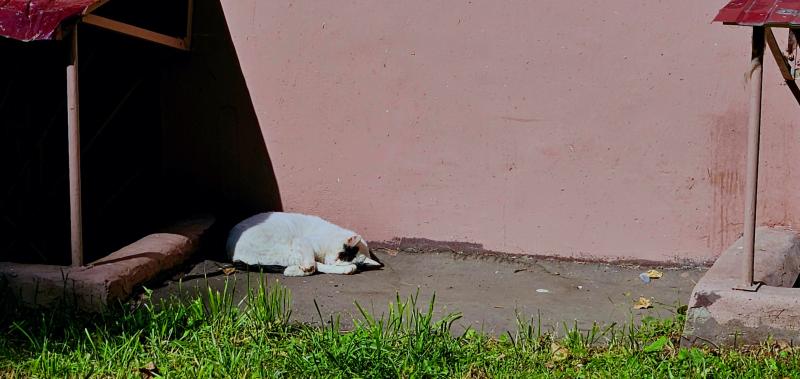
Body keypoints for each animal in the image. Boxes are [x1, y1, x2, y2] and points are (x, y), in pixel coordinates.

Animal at [227, 212, 382, 278]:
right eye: (342, 254)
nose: (335, 262)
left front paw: (346, 267)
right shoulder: (302, 241)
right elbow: (312, 262)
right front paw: (305, 268)